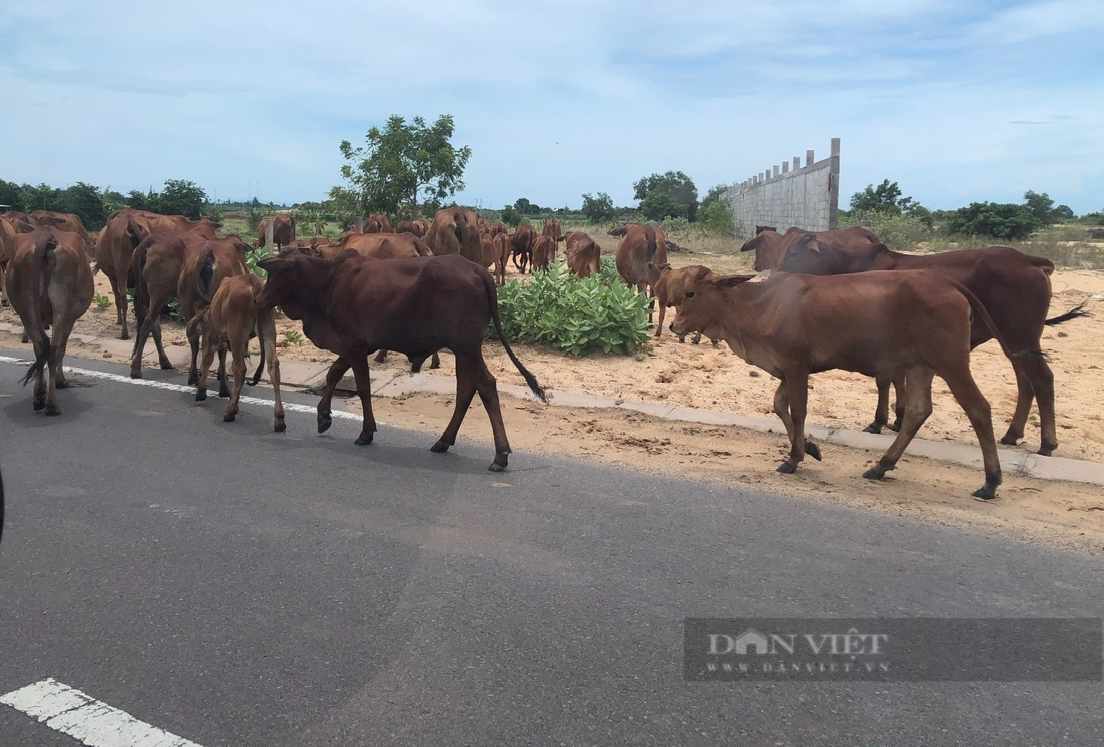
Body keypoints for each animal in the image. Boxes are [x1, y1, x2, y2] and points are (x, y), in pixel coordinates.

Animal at [4, 226, 93, 412]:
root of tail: (46, 234)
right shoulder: (70, 319)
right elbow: (62, 349)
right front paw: (60, 380)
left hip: (26, 309)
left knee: (40, 346)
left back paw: (39, 396)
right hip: (62, 310)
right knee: (54, 350)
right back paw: (51, 404)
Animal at [189, 271, 284, 428]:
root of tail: (252, 282)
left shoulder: (214, 335)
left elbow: (208, 359)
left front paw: (201, 391)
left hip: (236, 333)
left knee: (240, 369)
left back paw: (231, 411)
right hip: (268, 328)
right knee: (273, 365)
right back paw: (279, 418)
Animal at [259, 251, 552, 472]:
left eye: (274, 274)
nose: (258, 298)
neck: (327, 282)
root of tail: (478, 270)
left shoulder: (354, 345)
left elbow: (362, 387)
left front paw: (366, 432)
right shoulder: (356, 346)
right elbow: (333, 373)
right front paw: (323, 416)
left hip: (466, 347)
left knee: (484, 386)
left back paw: (499, 454)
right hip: (465, 351)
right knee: (472, 387)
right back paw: (446, 442)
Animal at [666, 269, 1011, 500]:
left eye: (691, 293)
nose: (673, 325)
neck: (759, 306)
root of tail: (946, 282)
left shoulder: (796, 367)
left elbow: (798, 411)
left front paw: (793, 458)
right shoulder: (787, 370)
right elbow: (779, 407)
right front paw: (810, 447)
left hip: (951, 363)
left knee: (979, 409)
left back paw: (990, 482)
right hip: (920, 367)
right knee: (917, 412)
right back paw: (880, 466)